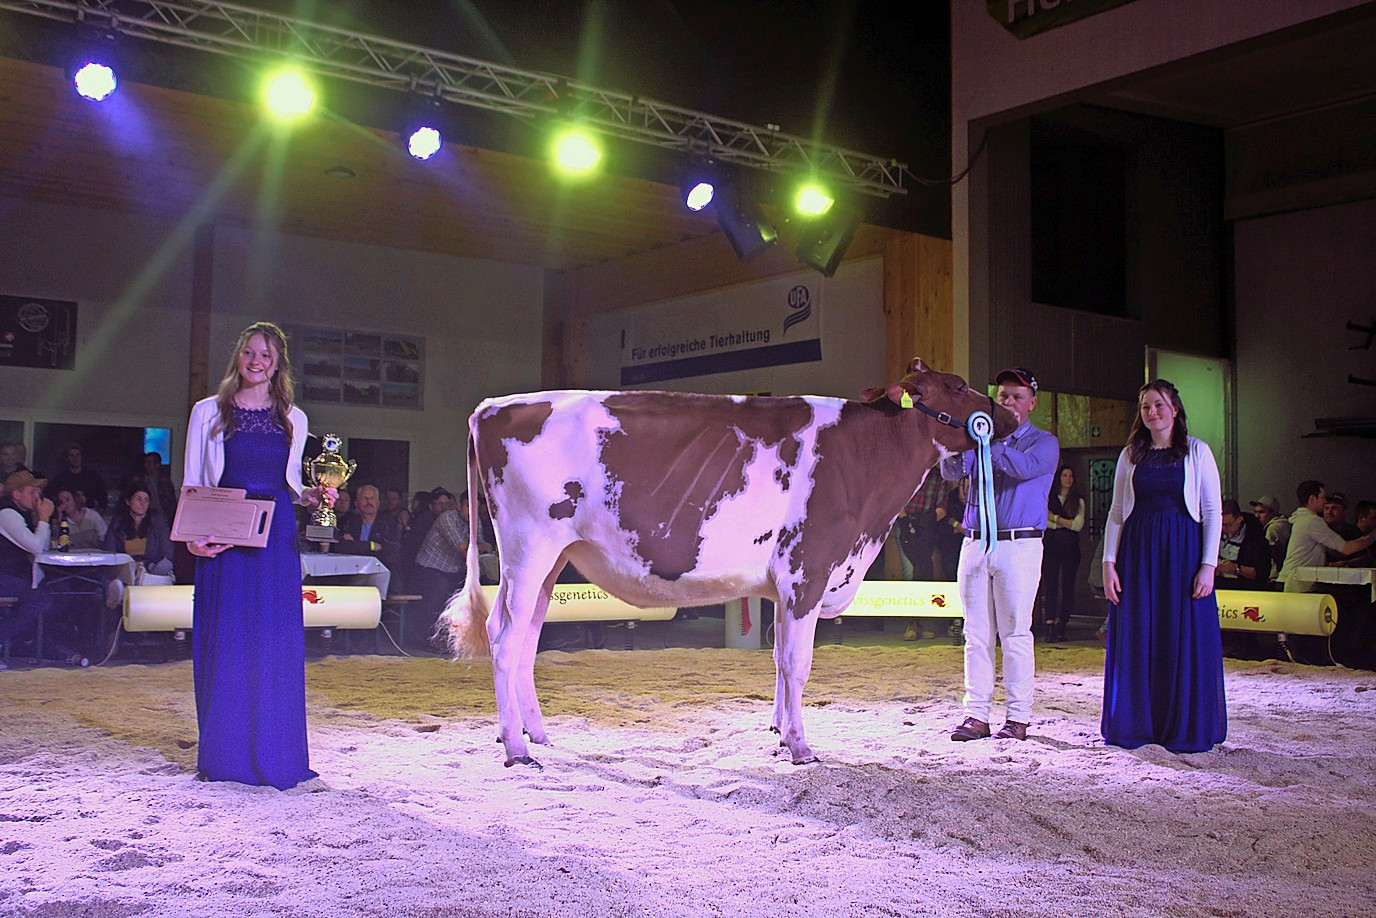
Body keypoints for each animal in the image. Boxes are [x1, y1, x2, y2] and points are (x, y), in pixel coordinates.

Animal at [441, 358, 1017, 767]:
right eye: (958, 385)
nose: (1010, 414)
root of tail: (490, 406)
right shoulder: (808, 571)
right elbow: (798, 663)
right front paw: (801, 746)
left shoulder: (786, 585)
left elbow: (779, 660)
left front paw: (780, 733)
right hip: (527, 547)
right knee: (503, 636)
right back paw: (517, 749)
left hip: (551, 560)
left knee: (528, 637)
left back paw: (537, 733)